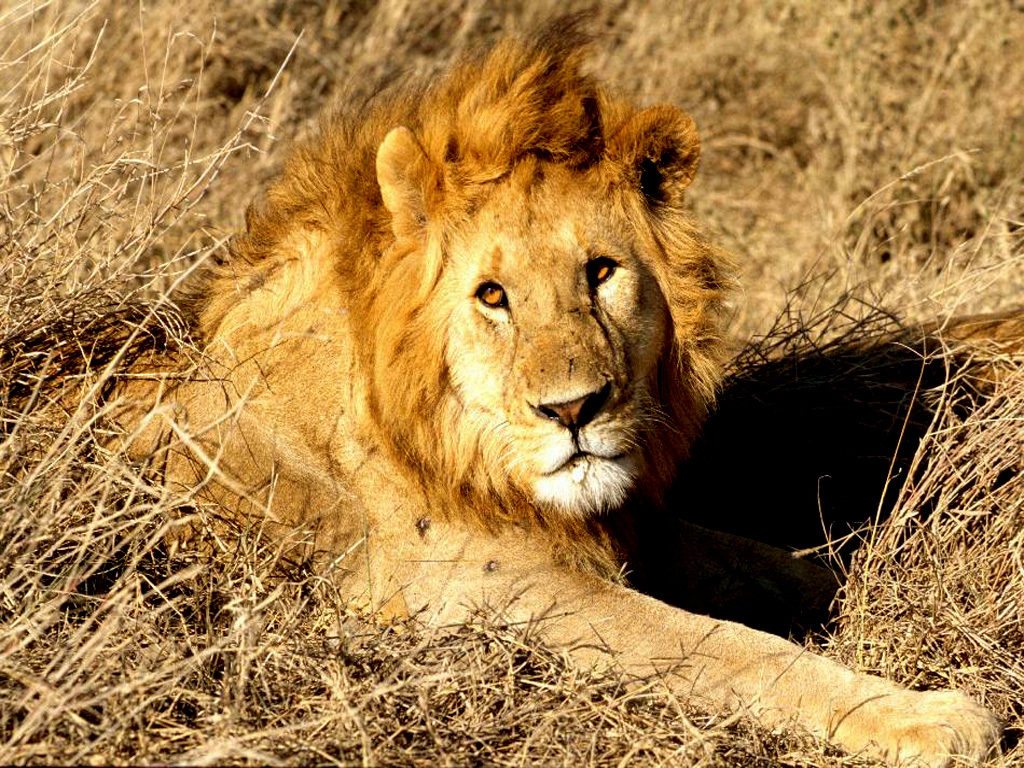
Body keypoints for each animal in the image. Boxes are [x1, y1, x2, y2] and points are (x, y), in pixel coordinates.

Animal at [118, 23, 1005, 766]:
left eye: (600, 272)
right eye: (492, 296)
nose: (574, 410)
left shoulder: (635, 528)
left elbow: (790, 566)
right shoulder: (483, 593)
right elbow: (728, 648)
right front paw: (927, 714)